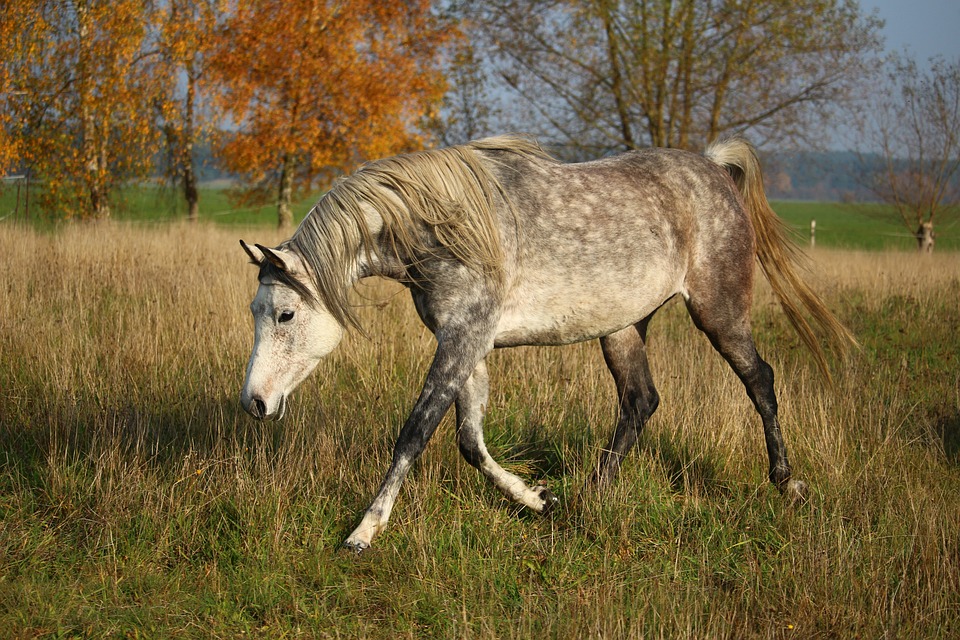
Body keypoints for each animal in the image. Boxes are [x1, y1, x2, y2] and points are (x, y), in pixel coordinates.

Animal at [240, 134, 856, 552]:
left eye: (286, 313)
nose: (255, 403)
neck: (447, 226)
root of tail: (714, 169)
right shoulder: (468, 346)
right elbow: (470, 442)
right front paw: (538, 500)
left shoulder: (462, 341)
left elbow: (414, 433)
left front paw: (364, 531)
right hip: (623, 329)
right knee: (640, 402)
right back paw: (587, 497)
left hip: (719, 313)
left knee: (759, 382)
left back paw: (786, 482)